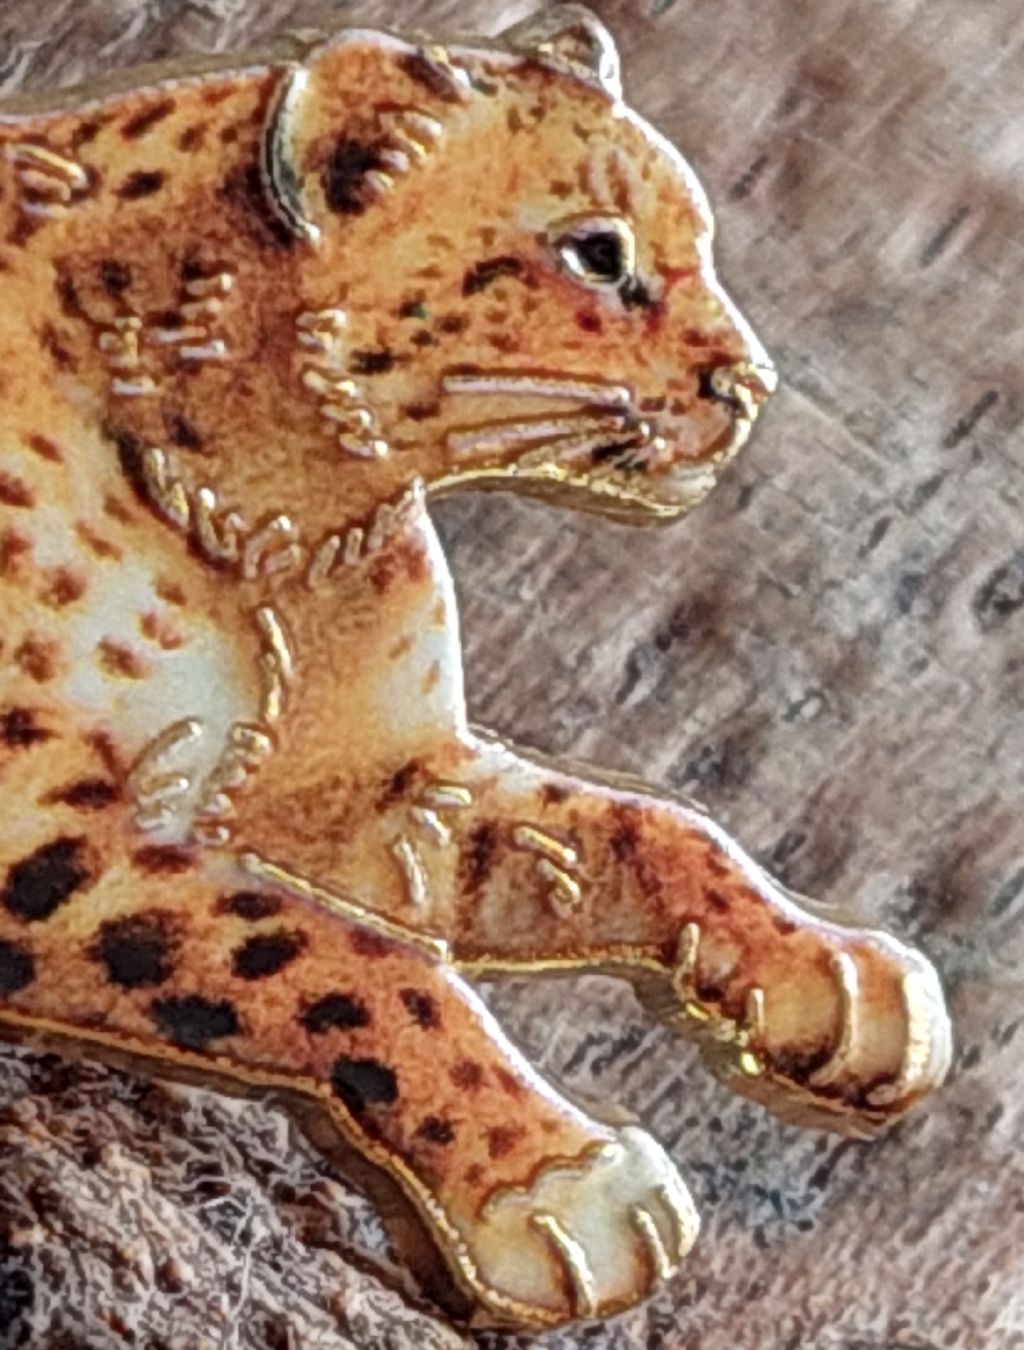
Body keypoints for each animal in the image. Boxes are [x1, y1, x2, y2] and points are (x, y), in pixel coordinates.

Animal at [0, 5, 951, 1330]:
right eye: (597, 253)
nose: (748, 382)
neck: (281, 530)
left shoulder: (380, 779)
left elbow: (647, 828)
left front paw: (841, 977)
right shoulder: (40, 823)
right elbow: (338, 957)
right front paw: (563, 1186)